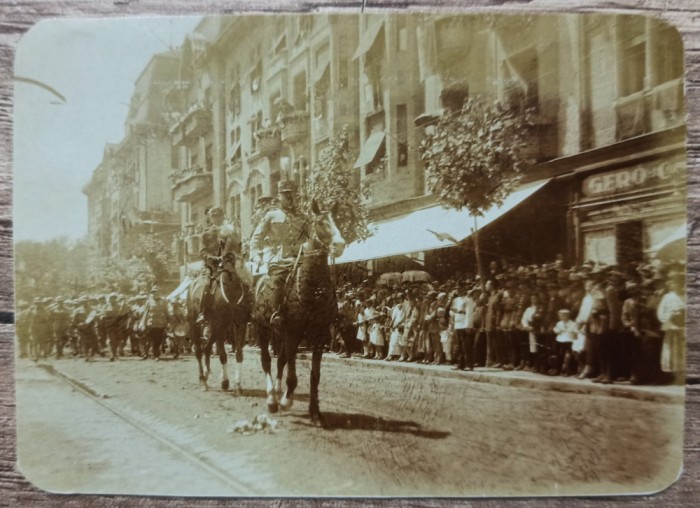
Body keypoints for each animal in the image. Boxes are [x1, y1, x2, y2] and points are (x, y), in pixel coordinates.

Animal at [186, 258, 252, 392]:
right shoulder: (221, 325)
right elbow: (222, 355)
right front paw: (225, 382)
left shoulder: (240, 324)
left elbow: (239, 354)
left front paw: (238, 385)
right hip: (195, 324)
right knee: (199, 351)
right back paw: (202, 380)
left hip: (214, 327)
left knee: (207, 348)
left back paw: (206, 376)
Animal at [254, 200, 348, 422]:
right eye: (321, 223)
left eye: (337, 221)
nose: (340, 245)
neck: (313, 287)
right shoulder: (294, 332)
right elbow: (292, 374)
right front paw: (287, 401)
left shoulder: (320, 335)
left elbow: (315, 376)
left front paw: (315, 411)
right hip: (263, 329)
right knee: (267, 361)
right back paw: (272, 400)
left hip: (279, 334)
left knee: (280, 361)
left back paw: (277, 394)